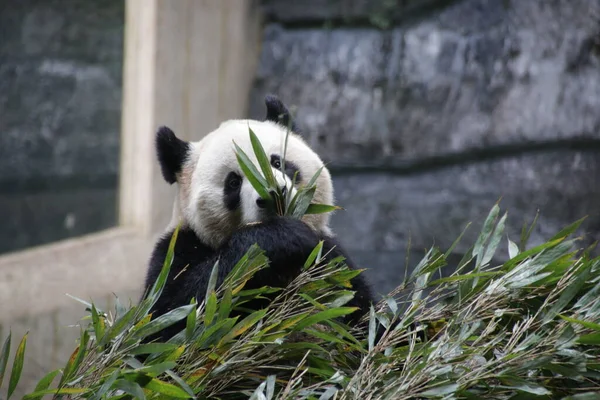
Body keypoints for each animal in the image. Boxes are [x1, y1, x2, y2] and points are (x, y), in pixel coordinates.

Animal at [141, 95, 378, 342]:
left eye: (277, 162)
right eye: (233, 182)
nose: (273, 195)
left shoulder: (332, 261)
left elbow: (362, 314)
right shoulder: (176, 249)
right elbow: (171, 317)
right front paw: (284, 236)